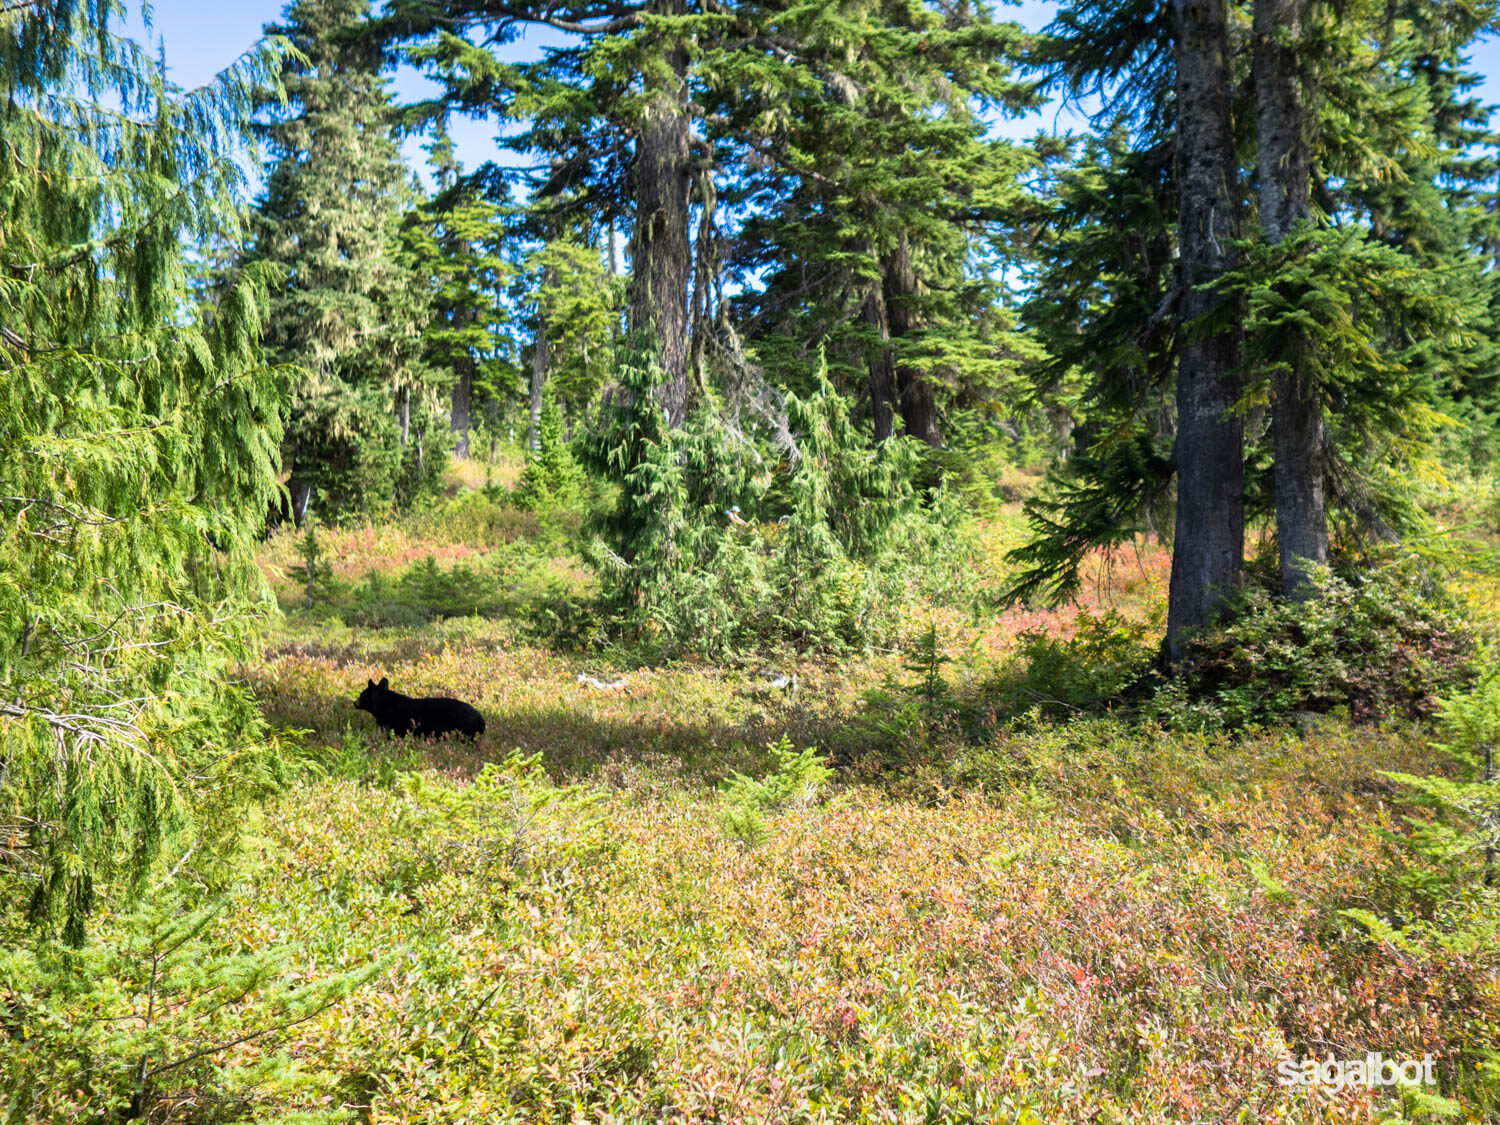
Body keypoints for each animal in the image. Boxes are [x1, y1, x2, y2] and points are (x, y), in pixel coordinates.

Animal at [353, 677, 486, 740]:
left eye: (361, 695)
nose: (354, 703)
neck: (383, 707)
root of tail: (480, 718)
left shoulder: (396, 724)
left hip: (463, 730)